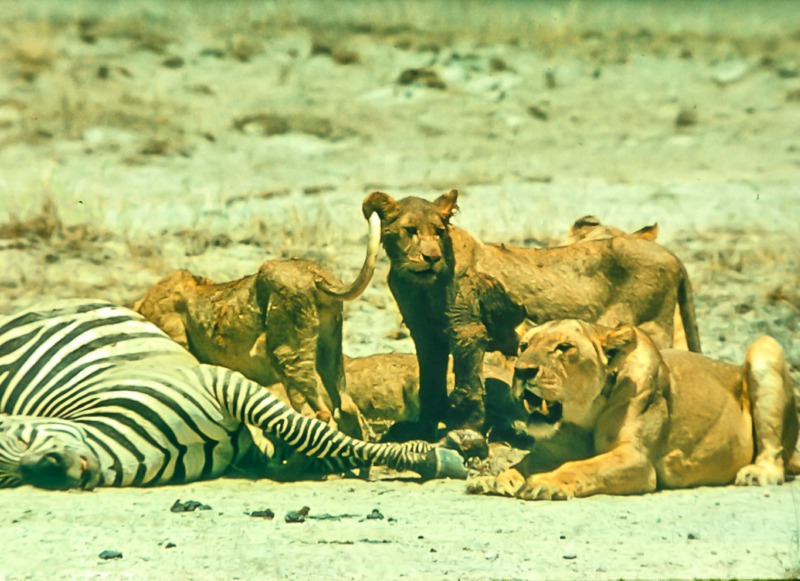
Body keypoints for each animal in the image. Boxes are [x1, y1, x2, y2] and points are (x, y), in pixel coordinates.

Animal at [362, 190, 700, 440]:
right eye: (410, 231)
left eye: (439, 231)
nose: (431, 257)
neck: (418, 284)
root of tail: (673, 256)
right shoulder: (426, 336)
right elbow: (430, 383)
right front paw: (422, 429)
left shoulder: (467, 330)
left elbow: (467, 385)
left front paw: (465, 432)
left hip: (651, 329)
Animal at [466, 318, 796, 498]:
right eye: (523, 347)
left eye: (564, 348)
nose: (521, 371)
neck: (584, 417)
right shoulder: (550, 451)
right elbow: (521, 465)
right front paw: (494, 478)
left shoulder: (635, 458)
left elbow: (582, 466)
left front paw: (547, 482)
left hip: (764, 348)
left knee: (773, 454)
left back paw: (757, 473)